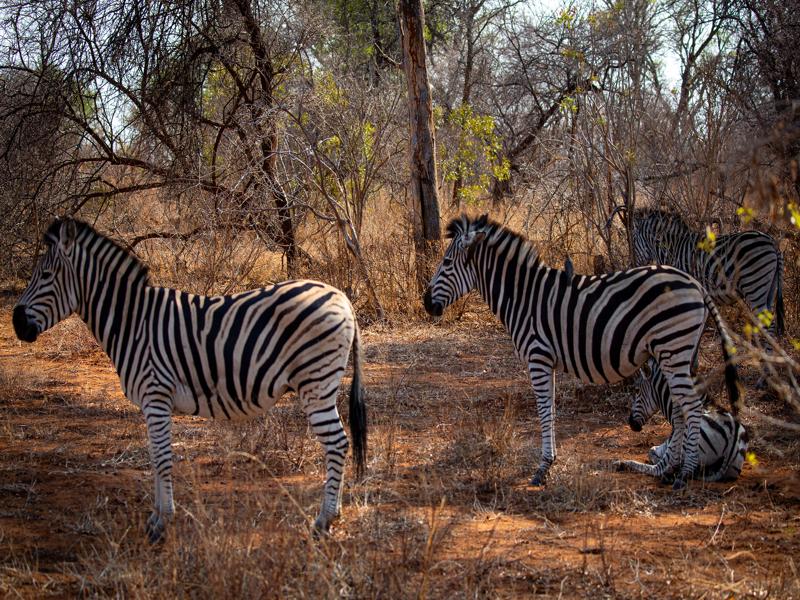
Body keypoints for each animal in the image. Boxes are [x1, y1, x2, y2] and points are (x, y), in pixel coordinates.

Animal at [13, 218, 367, 542]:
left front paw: (161, 524)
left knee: (337, 444)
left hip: (316, 383)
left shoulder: (155, 395)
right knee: (339, 444)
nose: (16, 324)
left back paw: (323, 521)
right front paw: (155, 517)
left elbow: (162, 458)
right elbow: (154, 456)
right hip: (320, 383)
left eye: (46, 276)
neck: (132, 322)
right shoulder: (150, 403)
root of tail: (342, 298)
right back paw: (332, 515)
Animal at [423, 214, 741, 490]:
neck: (523, 297)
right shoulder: (548, 361)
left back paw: (684, 474)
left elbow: (543, 410)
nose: (426, 304)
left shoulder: (538, 357)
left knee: (692, 407)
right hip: (681, 353)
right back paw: (671, 470)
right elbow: (551, 409)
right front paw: (550, 461)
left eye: (447, 262)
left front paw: (543, 468)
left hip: (673, 347)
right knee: (680, 408)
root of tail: (696, 284)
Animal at [608, 207, 785, 337]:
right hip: (768, 288)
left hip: (755, 286)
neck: (671, 248)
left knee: (768, 324)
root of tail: (771, 241)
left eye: (632, 240)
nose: (631, 265)